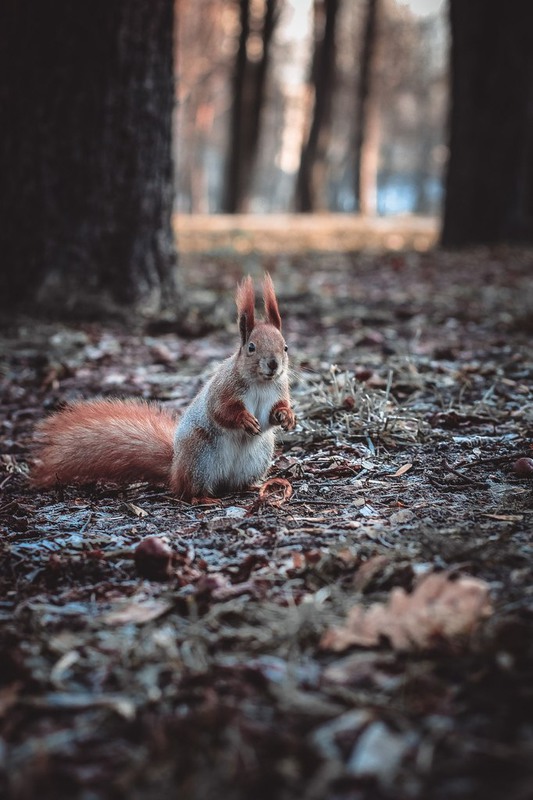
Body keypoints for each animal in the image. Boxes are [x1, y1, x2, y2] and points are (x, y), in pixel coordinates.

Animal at [31, 274, 296, 500]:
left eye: (285, 347)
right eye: (251, 347)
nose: (274, 364)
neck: (261, 383)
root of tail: (174, 468)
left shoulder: (277, 391)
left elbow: (273, 412)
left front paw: (287, 416)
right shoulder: (224, 389)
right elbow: (221, 411)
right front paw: (245, 419)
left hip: (258, 456)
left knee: (235, 484)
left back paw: (254, 486)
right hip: (199, 456)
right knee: (188, 491)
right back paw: (203, 499)